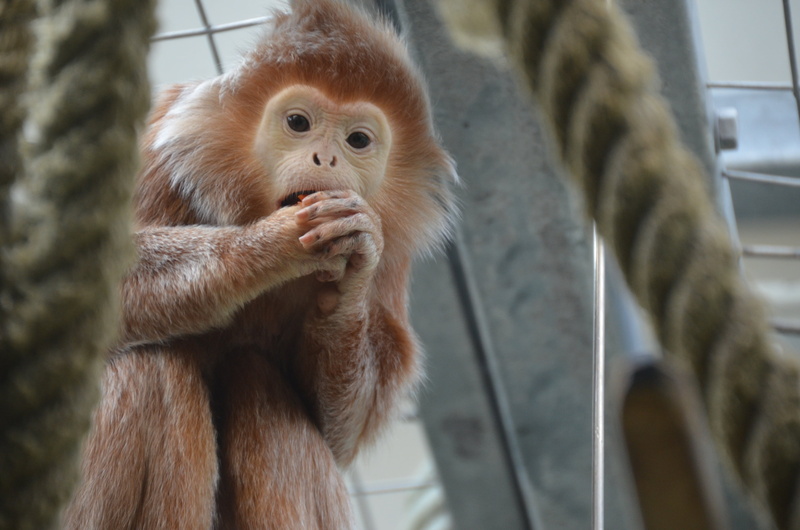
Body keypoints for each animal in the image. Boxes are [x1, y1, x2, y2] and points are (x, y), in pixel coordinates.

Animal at [62, 1, 458, 528]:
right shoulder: (160, 156)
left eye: (357, 139)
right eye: (298, 123)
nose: (325, 158)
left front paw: (350, 278)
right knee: (151, 366)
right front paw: (268, 244)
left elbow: (338, 436)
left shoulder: (393, 256)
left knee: (256, 376)